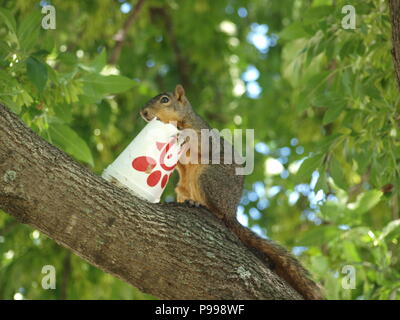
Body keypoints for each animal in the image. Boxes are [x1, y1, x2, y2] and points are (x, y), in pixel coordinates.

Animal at [139, 84, 324, 300]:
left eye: (165, 100)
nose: (144, 113)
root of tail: (232, 211)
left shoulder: (201, 135)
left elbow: (196, 144)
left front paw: (178, 135)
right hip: (183, 187)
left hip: (208, 177)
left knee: (218, 213)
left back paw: (201, 205)